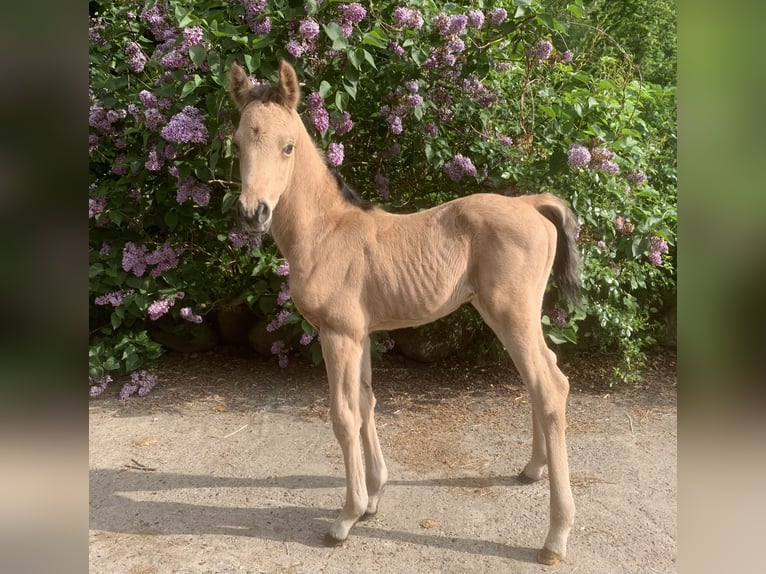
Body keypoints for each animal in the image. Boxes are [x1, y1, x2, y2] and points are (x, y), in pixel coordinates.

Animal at [228, 59, 584, 568]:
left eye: (287, 145)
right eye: (237, 143)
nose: (252, 213)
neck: (326, 232)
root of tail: (530, 203)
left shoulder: (337, 335)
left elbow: (343, 416)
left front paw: (345, 518)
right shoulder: (361, 334)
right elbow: (367, 403)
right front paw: (374, 498)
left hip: (510, 314)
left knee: (551, 387)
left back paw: (555, 537)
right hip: (518, 318)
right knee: (543, 380)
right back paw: (531, 469)